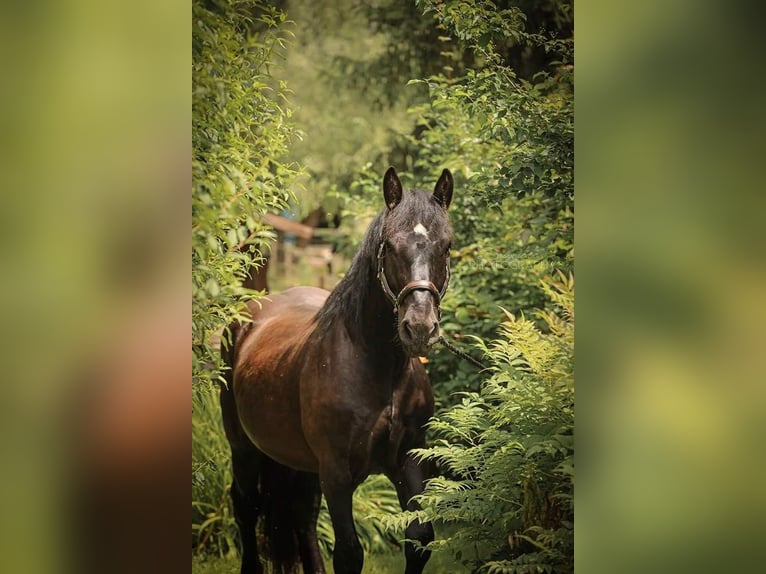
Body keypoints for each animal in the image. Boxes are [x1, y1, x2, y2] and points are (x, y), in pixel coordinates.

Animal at [219, 168, 452, 574]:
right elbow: (348, 553)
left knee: (303, 516)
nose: (420, 328)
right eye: (389, 245)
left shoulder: (409, 459)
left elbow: (419, 538)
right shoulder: (338, 473)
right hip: (244, 447)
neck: (379, 370)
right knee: (246, 506)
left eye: (447, 246)